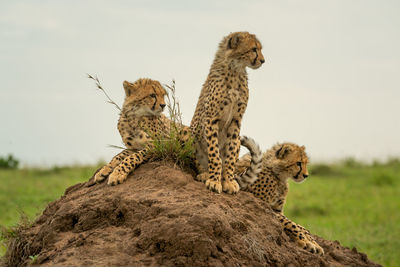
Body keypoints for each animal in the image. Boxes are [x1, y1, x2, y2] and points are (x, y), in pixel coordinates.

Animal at [191, 31, 266, 195]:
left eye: (259, 49)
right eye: (253, 49)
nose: (263, 61)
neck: (235, 70)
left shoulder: (236, 121)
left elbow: (229, 156)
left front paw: (229, 182)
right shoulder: (211, 118)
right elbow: (214, 154)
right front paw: (214, 180)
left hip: (238, 140)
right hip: (189, 132)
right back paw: (205, 174)